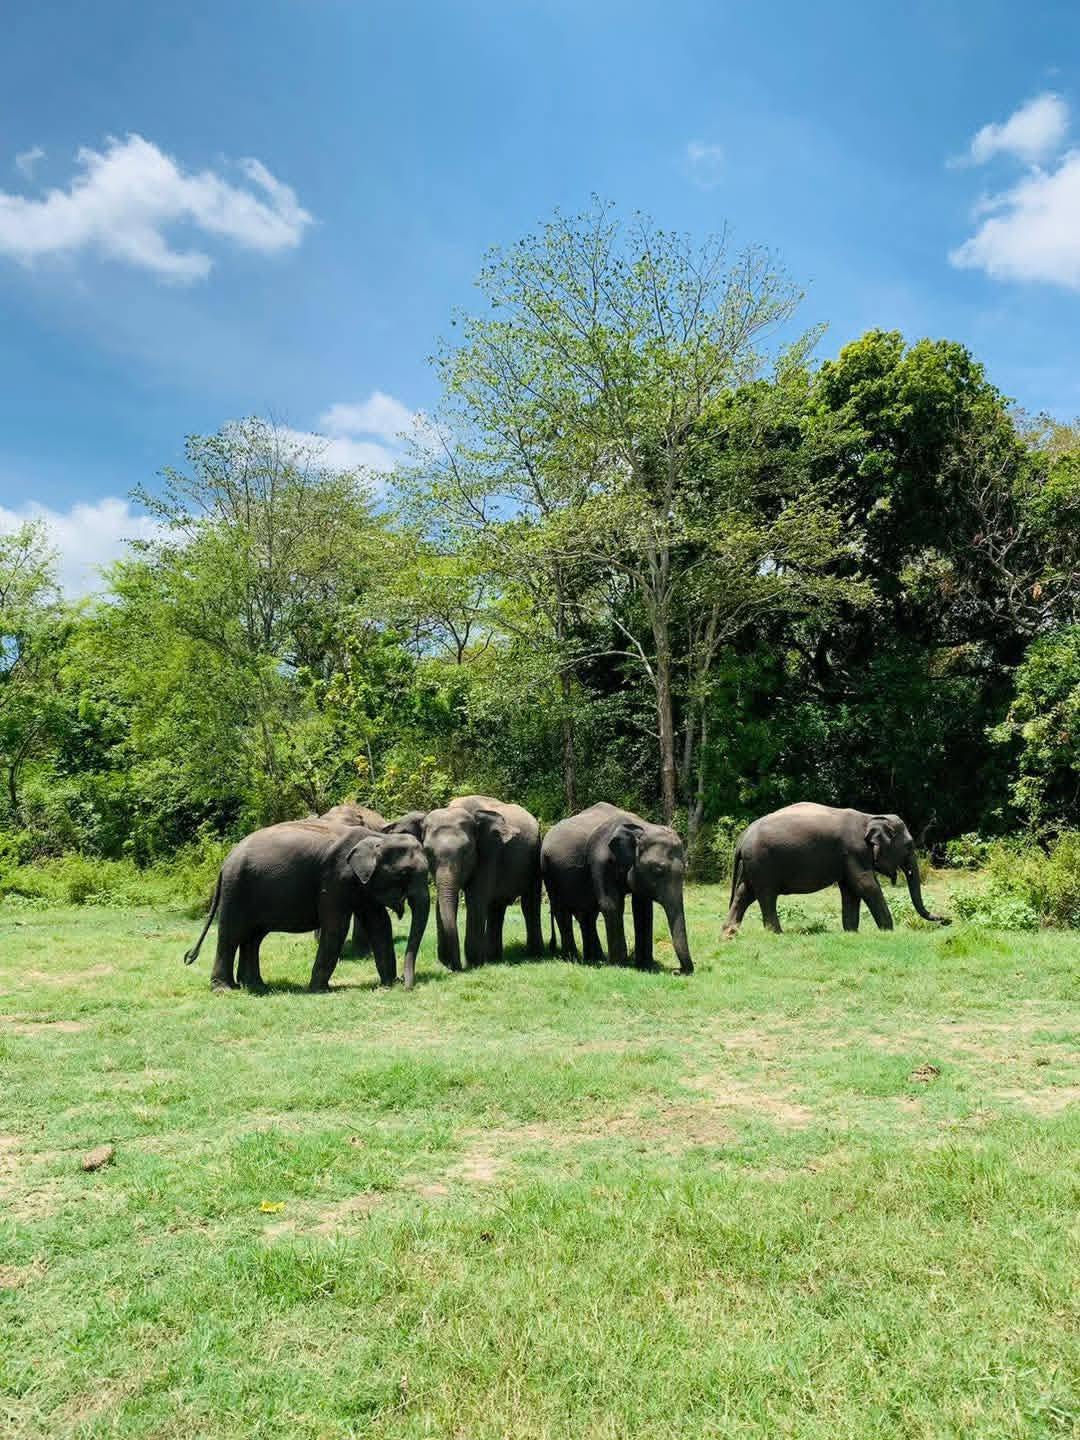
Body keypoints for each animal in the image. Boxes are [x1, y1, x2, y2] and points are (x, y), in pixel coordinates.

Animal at [183, 821, 430, 991]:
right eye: (404, 873)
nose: (406, 984)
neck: (378, 837)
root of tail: (225, 863)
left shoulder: (363, 883)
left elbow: (379, 924)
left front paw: (389, 984)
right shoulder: (335, 878)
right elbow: (336, 928)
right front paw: (319, 989)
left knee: (253, 938)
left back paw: (255, 986)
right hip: (235, 889)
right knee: (231, 934)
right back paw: (225, 989)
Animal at [394, 796, 544, 971]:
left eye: (466, 851)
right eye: (428, 852)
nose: (456, 966)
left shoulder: (489, 851)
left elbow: (475, 899)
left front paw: (474, 963)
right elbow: (442, 901)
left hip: (535, 858)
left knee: (529, 904)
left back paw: (534, 954)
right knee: (496, 908)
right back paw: (494, 959)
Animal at [541, 802, 693, 974]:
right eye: (658, 869)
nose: (677, 971)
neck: (642, 828)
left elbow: (644, 910)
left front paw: (645, 966)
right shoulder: (600, 860)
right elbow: (611, 905)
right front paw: (619, 965)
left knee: (588, 914)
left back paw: (595, 958)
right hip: (548, 870)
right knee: (561, 909)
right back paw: (572, 958)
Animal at [722, 803, 950, 936]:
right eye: (909, 846)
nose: (947, 920)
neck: (871, 817)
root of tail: (742, 840)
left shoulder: (847, 857)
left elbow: (851, 890)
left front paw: (851, 933)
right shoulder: (854, 850)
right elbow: (865, 885)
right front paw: (888, 932)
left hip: (753, 865)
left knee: (744, 893)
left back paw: (729, 934)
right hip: (762, 863)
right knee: (766, 895)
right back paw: (776, 934)